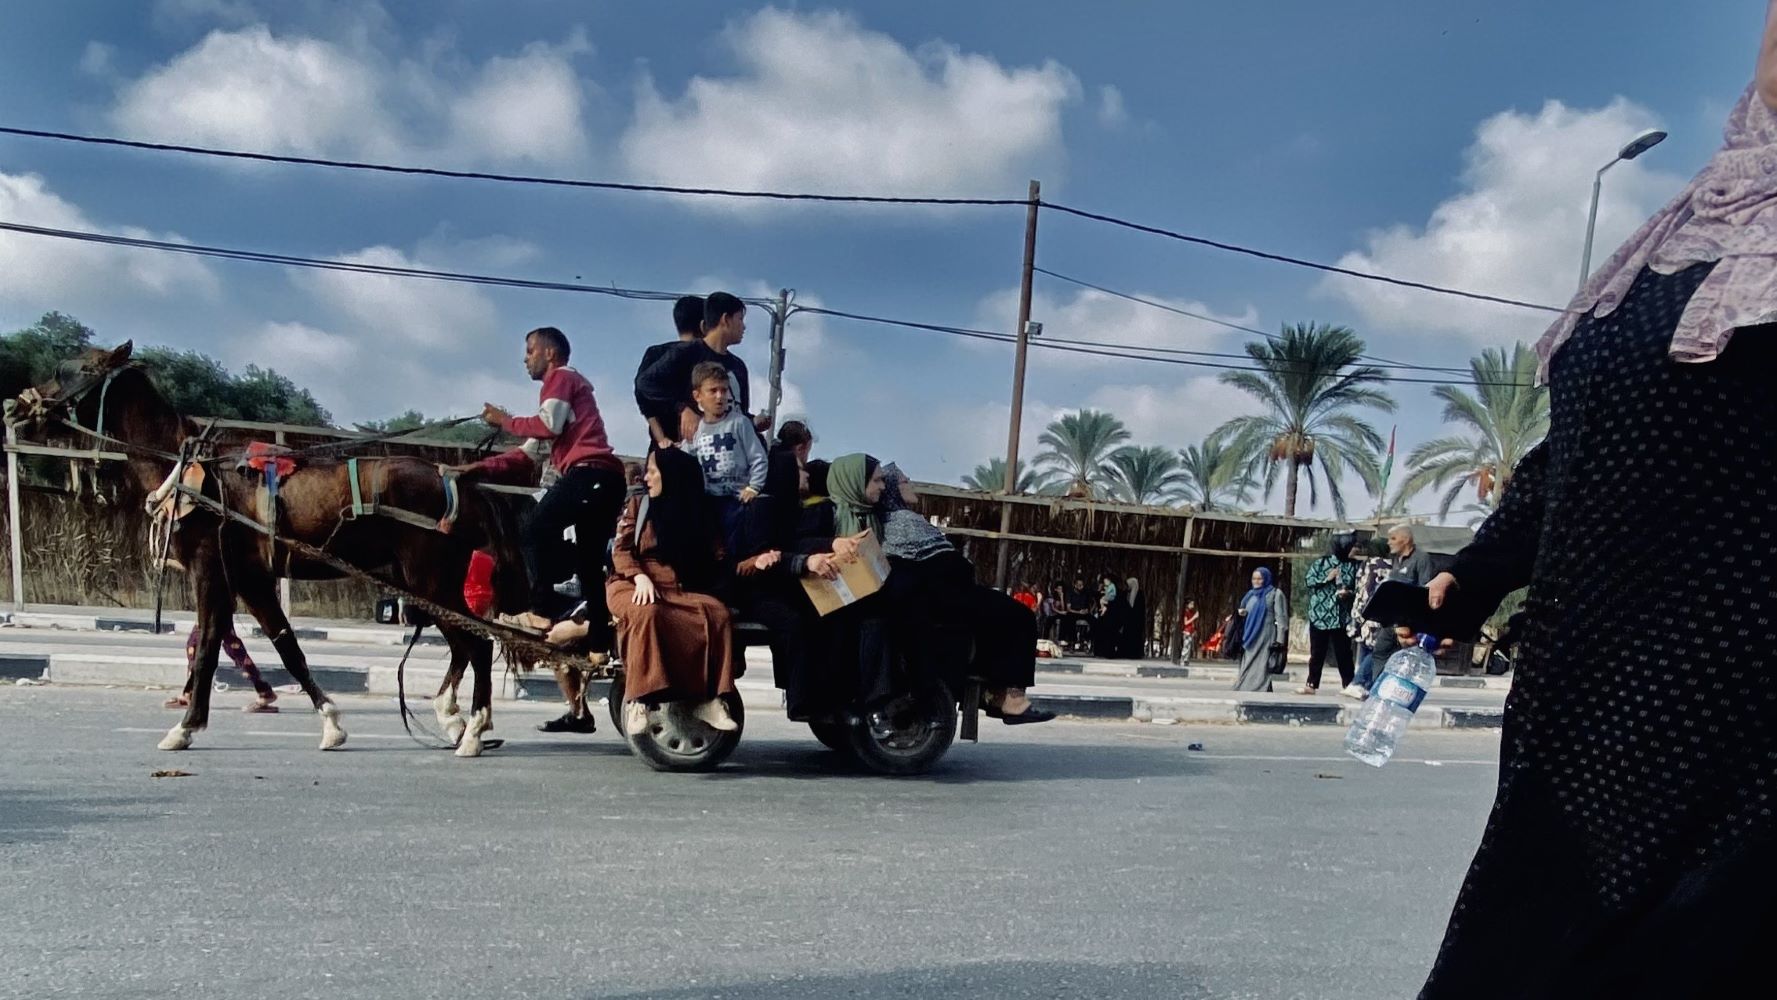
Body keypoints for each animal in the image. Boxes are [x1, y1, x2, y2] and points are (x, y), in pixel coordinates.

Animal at [8, 344, 533, 760]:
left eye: (70, 368)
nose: (15, 407)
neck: (191, 470)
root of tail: (460, 480)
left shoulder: (210, 570)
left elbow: (209, 646)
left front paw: (185, 726)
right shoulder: (251, 578)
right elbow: (287, 646)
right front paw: (331, 723)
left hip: (429, 577)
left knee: (478, 643)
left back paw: (473, 729)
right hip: (421, 581)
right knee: (464, 644)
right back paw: (453, 716)